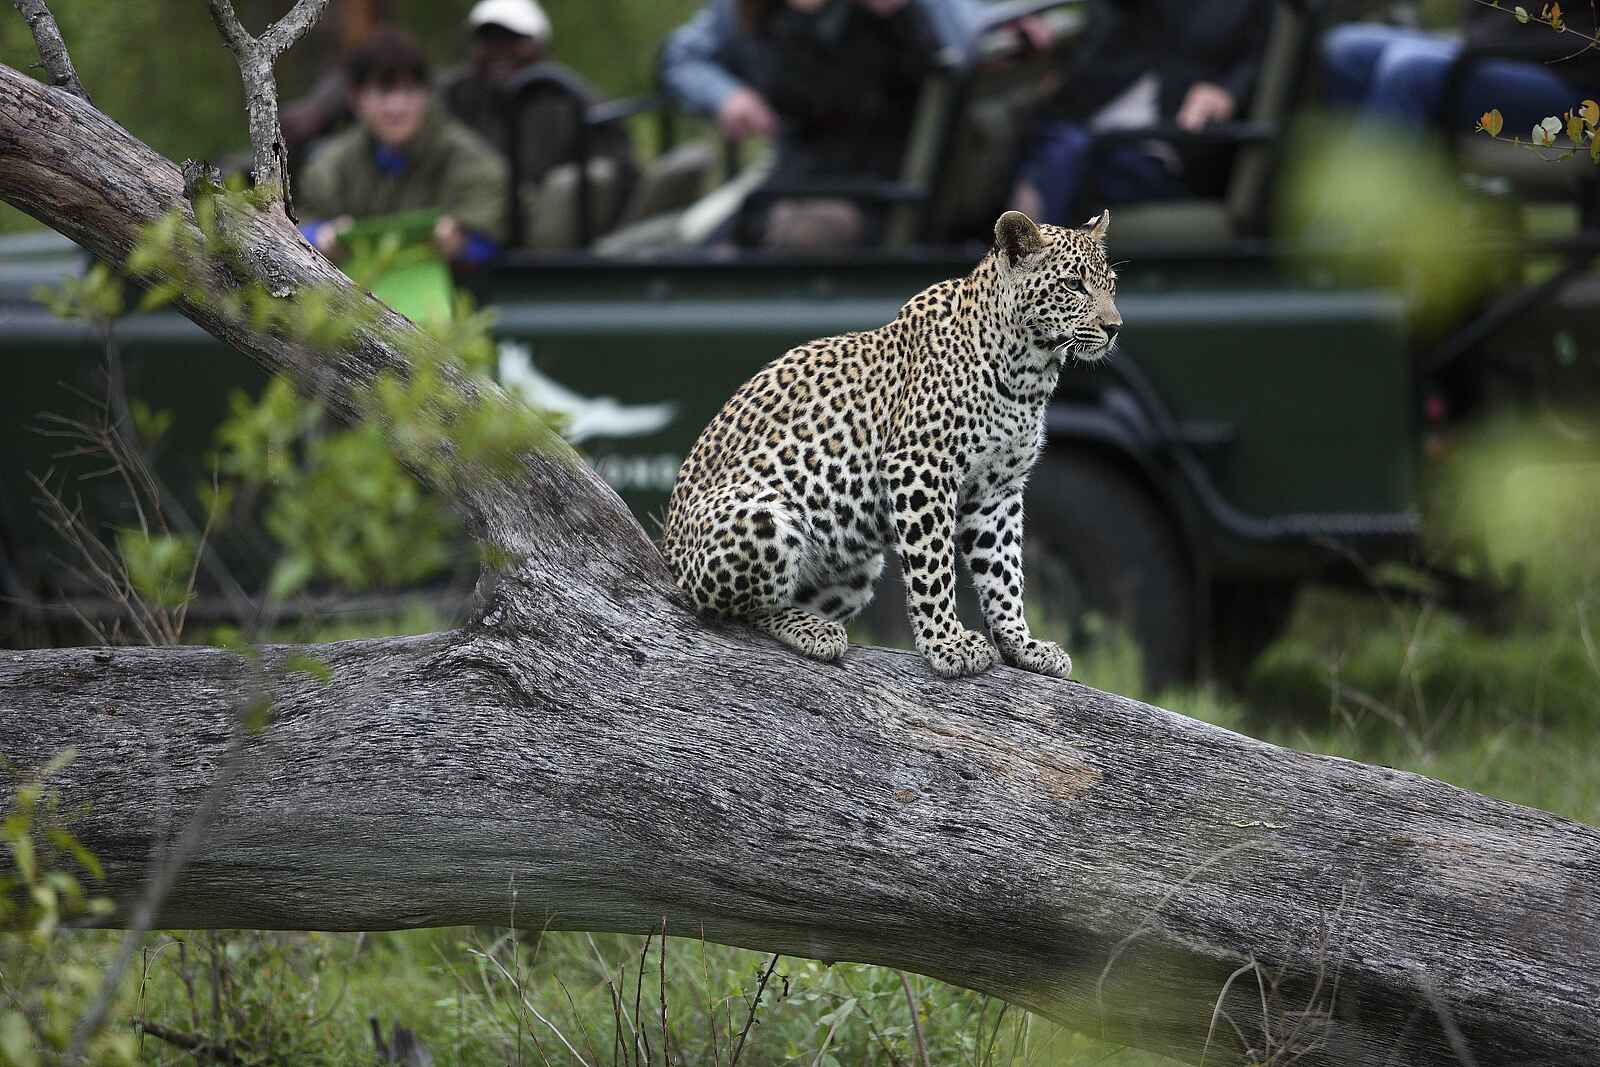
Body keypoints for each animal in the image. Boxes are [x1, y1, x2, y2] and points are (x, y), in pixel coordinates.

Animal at [660, 209, 1121, 679]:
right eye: (1073, 285)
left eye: (1111, 285)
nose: (1114, 328)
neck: (1030, 370)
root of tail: (668, 556)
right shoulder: (920, 467)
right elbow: (933, 565)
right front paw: (948, 643)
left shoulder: (998, 489)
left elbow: (1004, 571)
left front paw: (1022, 644)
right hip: (764, 519)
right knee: (738, 609)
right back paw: (814, 631)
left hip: (858, 568)